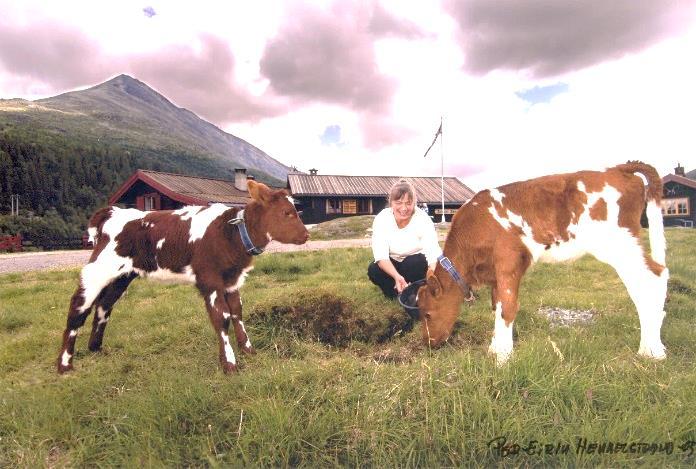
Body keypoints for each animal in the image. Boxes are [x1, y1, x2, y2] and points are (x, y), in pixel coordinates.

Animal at [58, 179, 308, 372]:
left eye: (297, 211)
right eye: (286, 213)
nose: (306, 235)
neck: (230, 232)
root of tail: (113, 212)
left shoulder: (231, 280)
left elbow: (237, 313)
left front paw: (248, 350)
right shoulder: (209, 280)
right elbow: (222, 318)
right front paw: (229, 364)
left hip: (123, 275)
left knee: (104, 305)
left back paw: (96, 349)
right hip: (98, 270)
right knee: (78, 307)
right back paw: (65, 365)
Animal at [416, 163, 672, 364]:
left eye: (427, 314)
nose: (428, 343)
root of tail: (617, 169)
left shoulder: (509, 261)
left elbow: (508, 308)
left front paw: (503, 359)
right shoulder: (496, 274)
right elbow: (497, 307)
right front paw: (495, 350)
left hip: (621, 244)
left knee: (653, 278)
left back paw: (652, 351)